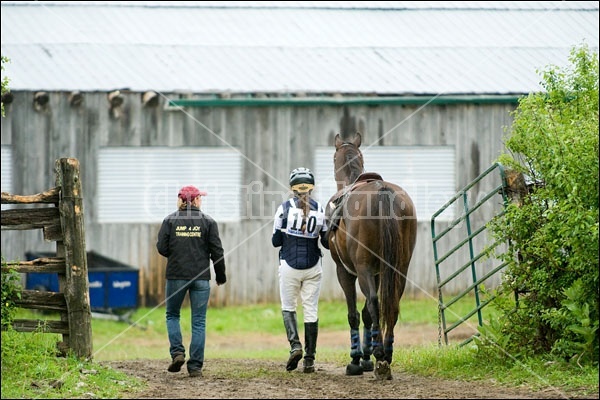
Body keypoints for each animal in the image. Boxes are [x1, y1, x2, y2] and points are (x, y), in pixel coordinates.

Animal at [326, 133, 414, 380]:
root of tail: (382, 190)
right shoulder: (377, 273)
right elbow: (366, 314)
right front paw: (366, 358)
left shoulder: (345, 271)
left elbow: (355, 314)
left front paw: (356, 360)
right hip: (399, 268)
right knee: (391, 304)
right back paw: (386, 353)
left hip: (362, 268)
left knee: (375, 302)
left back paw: (380, 353)